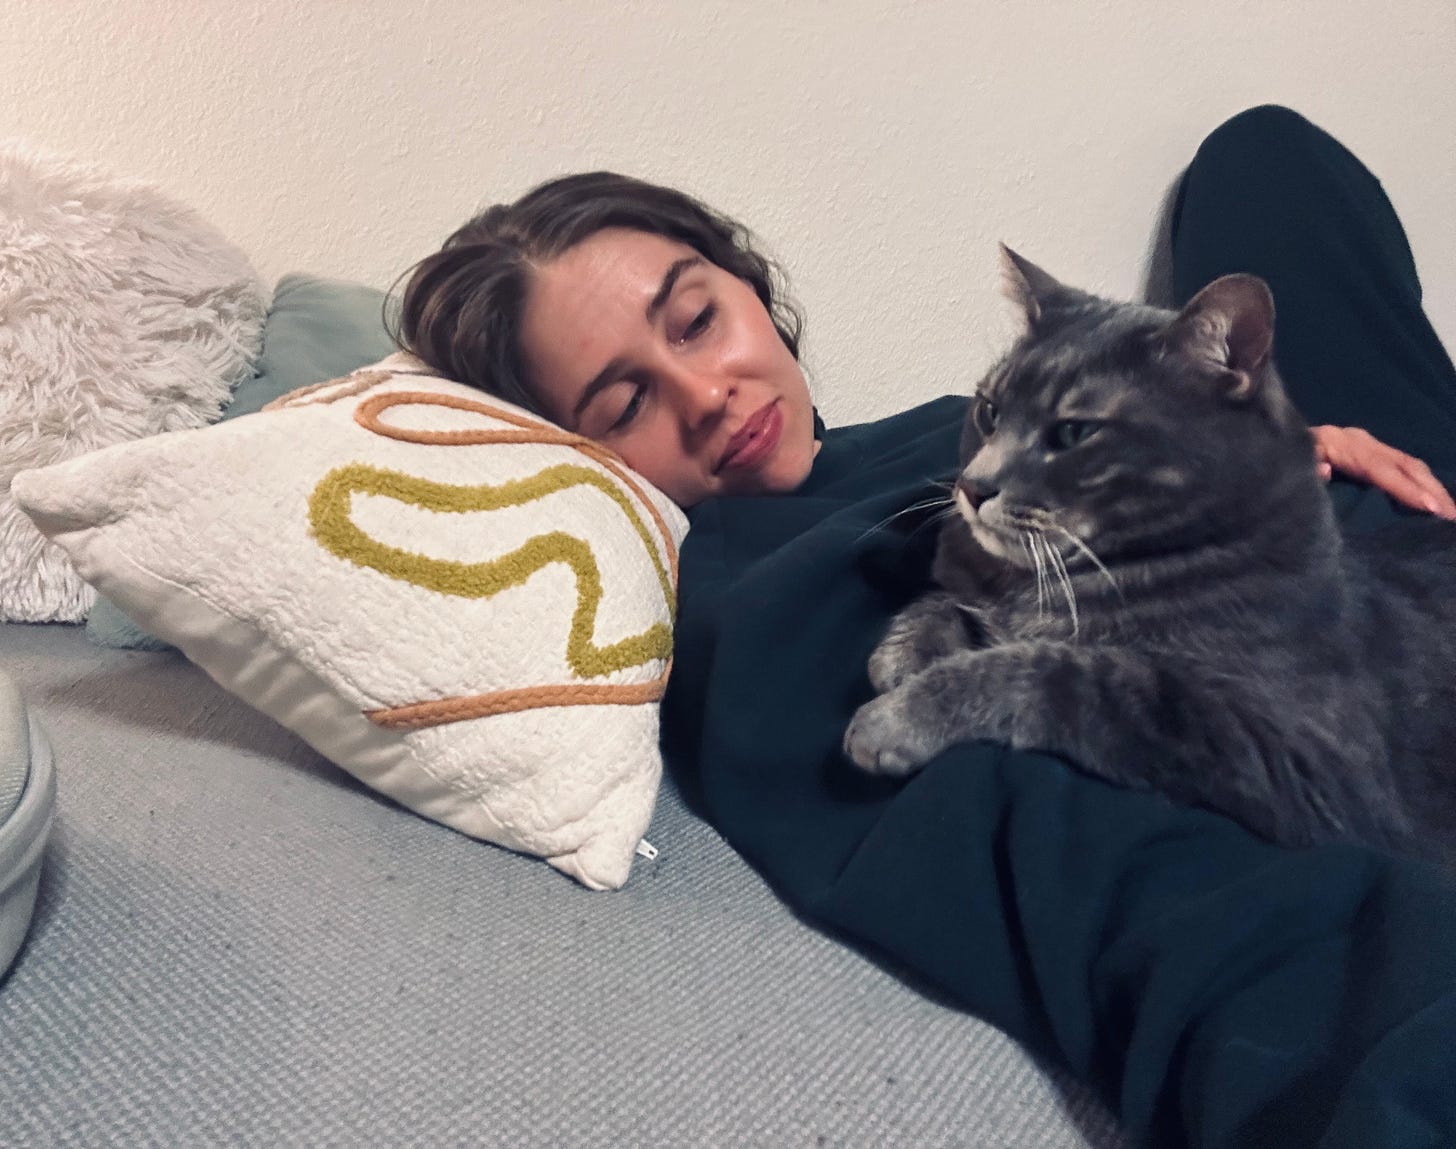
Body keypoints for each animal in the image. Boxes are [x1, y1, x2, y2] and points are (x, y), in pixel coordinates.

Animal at [844, 250, 1456, 862]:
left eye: (1073, 432)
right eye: (990, 412)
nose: (971, 487)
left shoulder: (1305, 757)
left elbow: (1064, 670)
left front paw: (898, 718)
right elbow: (947, 598)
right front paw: (905, 654)